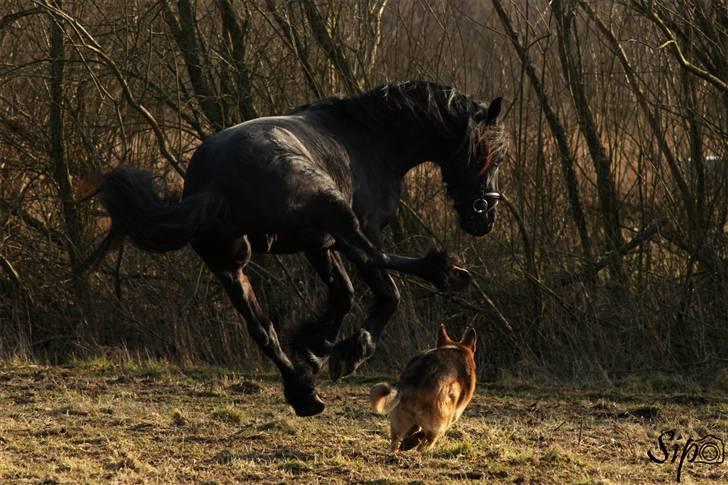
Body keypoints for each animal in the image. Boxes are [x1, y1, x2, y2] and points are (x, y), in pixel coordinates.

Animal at [77, 80, 504, 416]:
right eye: (491, 156)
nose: (484, 218)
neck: (370, 139)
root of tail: (217, 182)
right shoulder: (358, 228)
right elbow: (385, 292)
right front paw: (346, 353)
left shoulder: (316, 244)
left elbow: (342, 294)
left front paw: (316, 349)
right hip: (331, 212)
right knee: (374, 262)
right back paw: (447, 271)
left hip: (231, 262)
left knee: (261, 328)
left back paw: (303, 392)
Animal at [370, 324, 478, 452]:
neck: (456, 347)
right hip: (442, 419)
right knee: (428, 438)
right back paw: (419, 448)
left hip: (399, 422)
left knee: (396, 441)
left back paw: (399, 449)